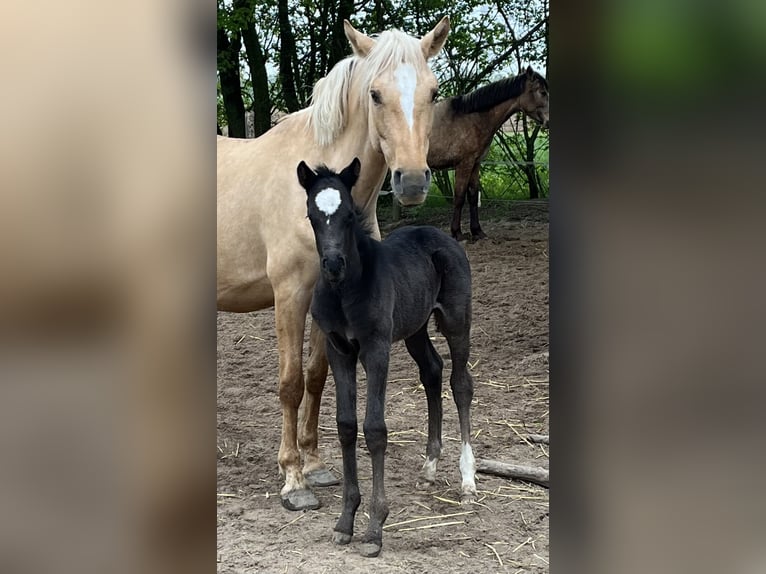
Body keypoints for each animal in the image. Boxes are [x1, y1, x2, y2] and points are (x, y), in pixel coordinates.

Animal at [296, 158, 476, 560]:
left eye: (349, 214)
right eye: (312, 215)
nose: (333, 264)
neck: (346, 290)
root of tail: (440, 235)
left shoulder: (376, 348)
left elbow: (375, 429)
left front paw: (375, 528)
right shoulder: (339, 350)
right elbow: (346, 426)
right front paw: (345, 522)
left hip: (457, 321)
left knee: (460, 383)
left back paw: (468, 480)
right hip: (415, 328)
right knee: (432, 371)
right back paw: (429, 466)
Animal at [428, 67, 548, 241]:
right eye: (542, 92)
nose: (548, 121)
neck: (471, 118)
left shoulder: (475, 163)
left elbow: (472, 196)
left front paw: (477, 231)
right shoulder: (464, 164)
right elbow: (459, 198)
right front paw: (457, 233)